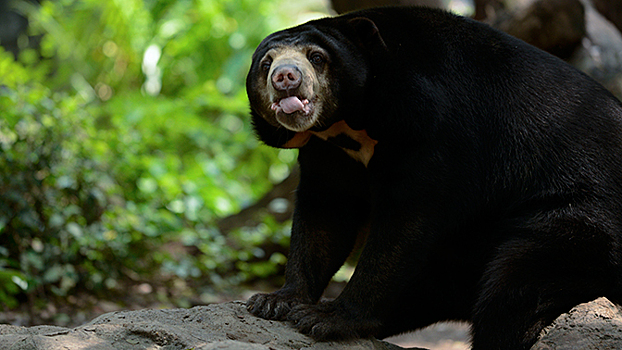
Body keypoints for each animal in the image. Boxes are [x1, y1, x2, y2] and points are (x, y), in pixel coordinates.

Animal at [246, 6, 622, 350]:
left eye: (317, 57)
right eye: (266, 64)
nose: (285, 77)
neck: (350, 124)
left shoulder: (432, 130)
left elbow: (404, 223)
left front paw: (326, 318)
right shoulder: (328, 153)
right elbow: (325, 214)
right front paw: (277, 301)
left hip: (579, 222)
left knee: (513, 292)